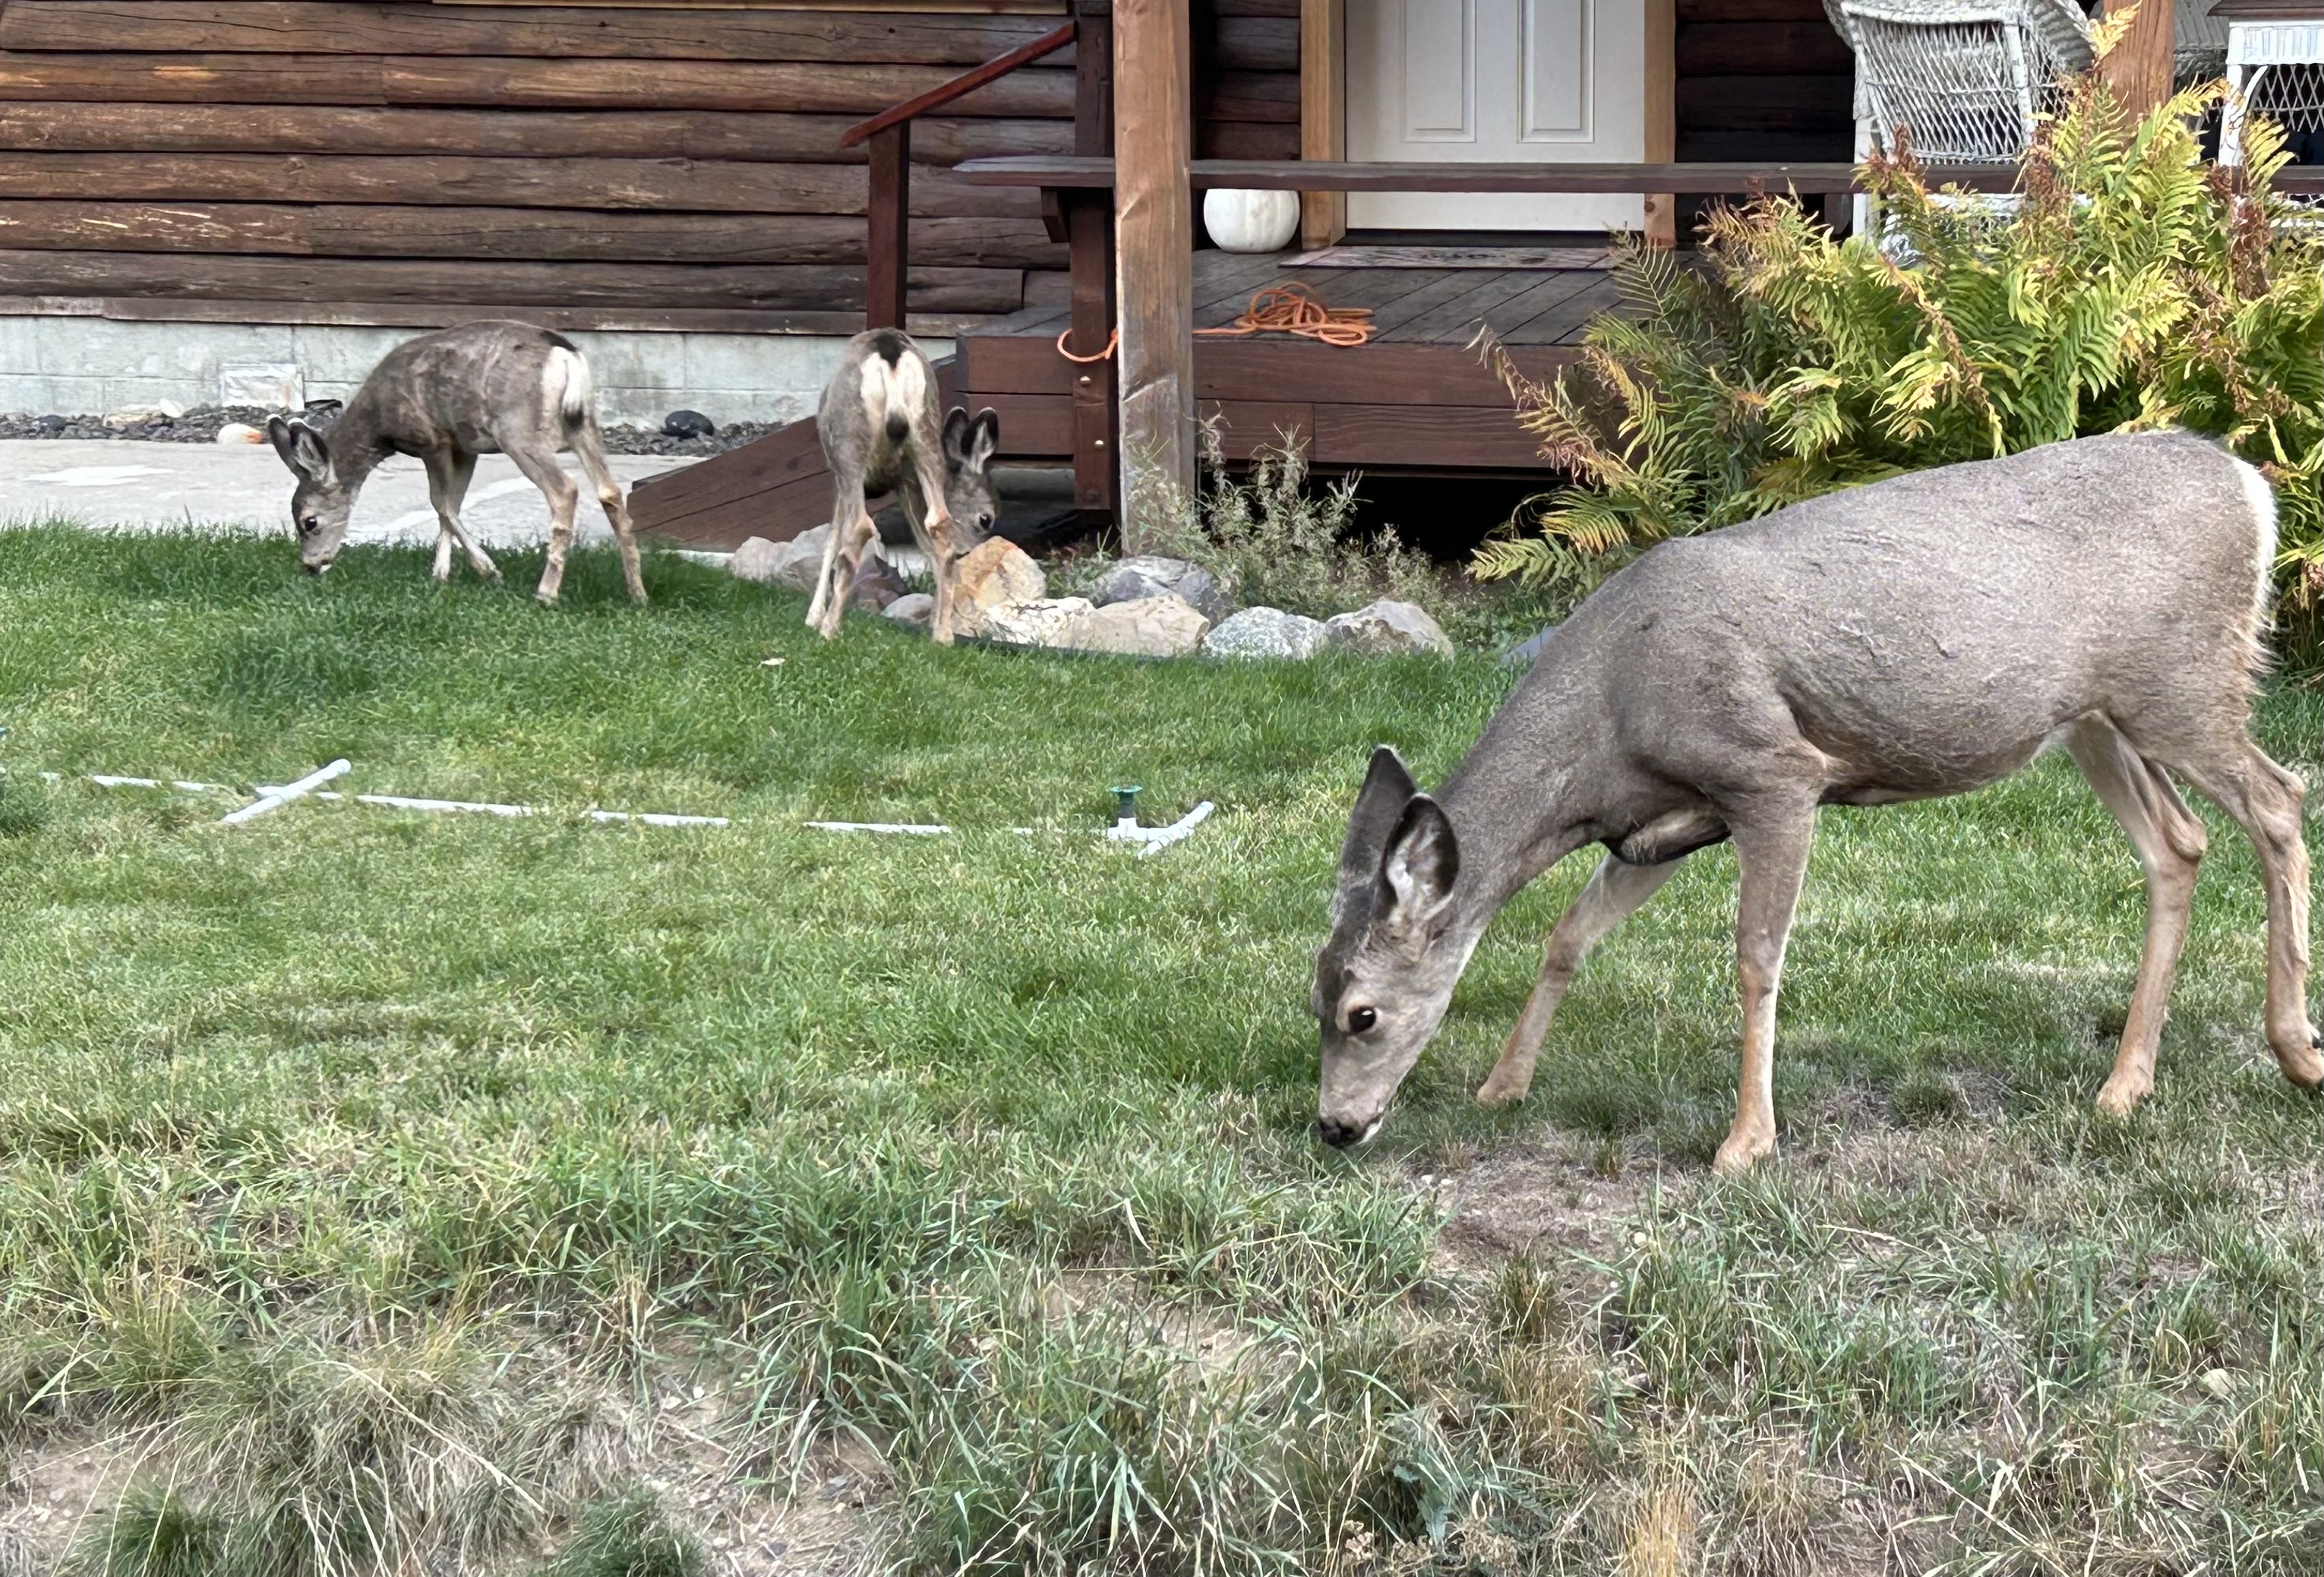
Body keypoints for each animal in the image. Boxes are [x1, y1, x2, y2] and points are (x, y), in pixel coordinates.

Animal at [268, 320, 651, 603]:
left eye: (310, 521)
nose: (312, 565)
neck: (379, 425)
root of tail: (566, 356)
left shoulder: (432, 439)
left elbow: (440, 502)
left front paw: (486, 571)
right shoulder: (466, 447)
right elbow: (453, 504)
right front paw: (442, 574)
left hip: (518, 430)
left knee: (565, 490)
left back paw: (546, 593)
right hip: (583, 424)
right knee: (609, 491)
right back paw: (637, 594)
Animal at [804, 329, 994, 645]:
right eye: (986, 519)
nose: (971, 553)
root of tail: (891, 353)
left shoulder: (839, 476)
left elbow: (831, 539)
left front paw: (813, 616)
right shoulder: (905, 482)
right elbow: (928, 547)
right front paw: (936, 624)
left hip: (850, 448)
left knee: (859, 528)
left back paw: (829, 628)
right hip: (925, 434)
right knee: (940, 527)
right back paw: (944, 637)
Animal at [1320, 431, 2314, 1170]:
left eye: (1361, 1012)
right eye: (1313, 986)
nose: (1335, 1125)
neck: (1608, 725)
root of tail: (2250, 490)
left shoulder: (1772, 773)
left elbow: (1755, 957)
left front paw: (1745, 1141)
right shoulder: (1656, 829)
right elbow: (1570, 934)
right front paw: (1503, 1084)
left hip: (2180, 681)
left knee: (2280, 797)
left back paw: (2295, 1047)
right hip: (2095, 716)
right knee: (2178, 843)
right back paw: (2123, 1084)